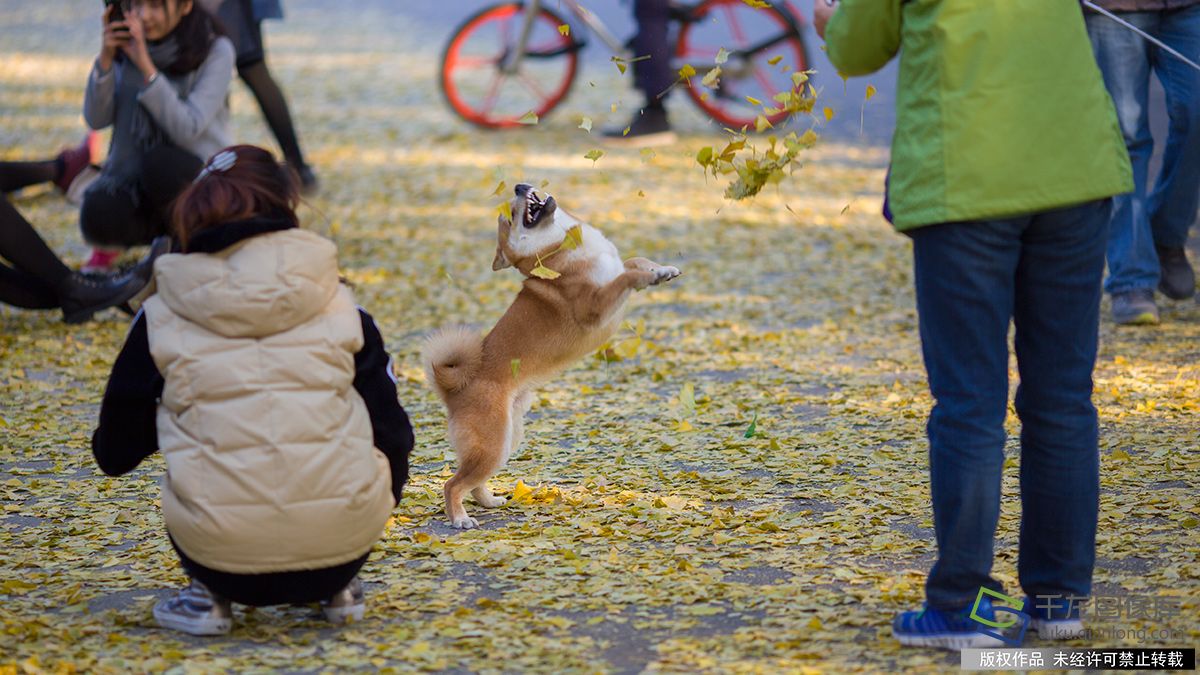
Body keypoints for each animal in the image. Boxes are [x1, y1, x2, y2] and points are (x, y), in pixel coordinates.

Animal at [427, 182, 681, 526]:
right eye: (510, 216)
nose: (520, 185)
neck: (564, 250)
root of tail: (453, 389)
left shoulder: (615, 269)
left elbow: (633, 261)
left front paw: (661, 269)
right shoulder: (593, 307)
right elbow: (626, 277)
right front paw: (649, 277)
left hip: (507, 440)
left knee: (473, 481)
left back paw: (489, 500)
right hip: (493, 444)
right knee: (452, 484)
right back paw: (460, 517)